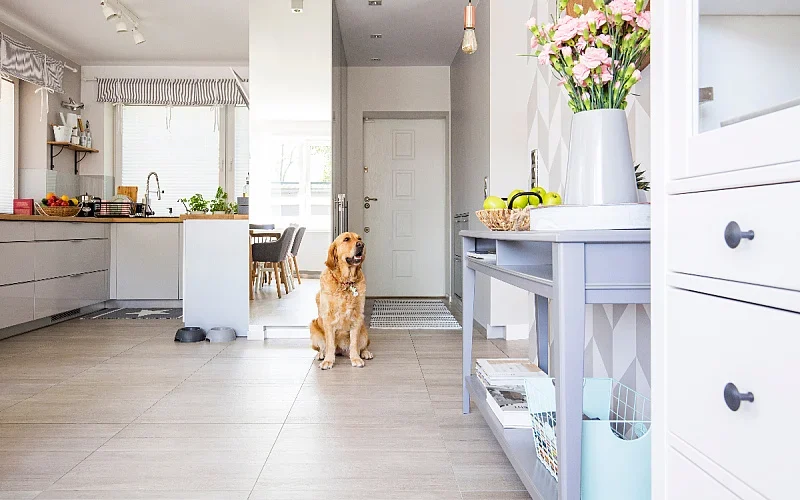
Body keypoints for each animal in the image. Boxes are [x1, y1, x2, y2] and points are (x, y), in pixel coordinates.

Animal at [310, 232, 373, 370]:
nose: (361, 244)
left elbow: (354, 343)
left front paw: (355, 358)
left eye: (359, 238)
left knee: (363, 346)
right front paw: (328, 361)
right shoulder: (328, 318)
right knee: (322, 347)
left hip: (364, 332)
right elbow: (329, 344)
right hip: (313, 327)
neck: (346, 282)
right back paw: (321, 355)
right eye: (346, 239)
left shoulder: (357, 317)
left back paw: (365, 353)